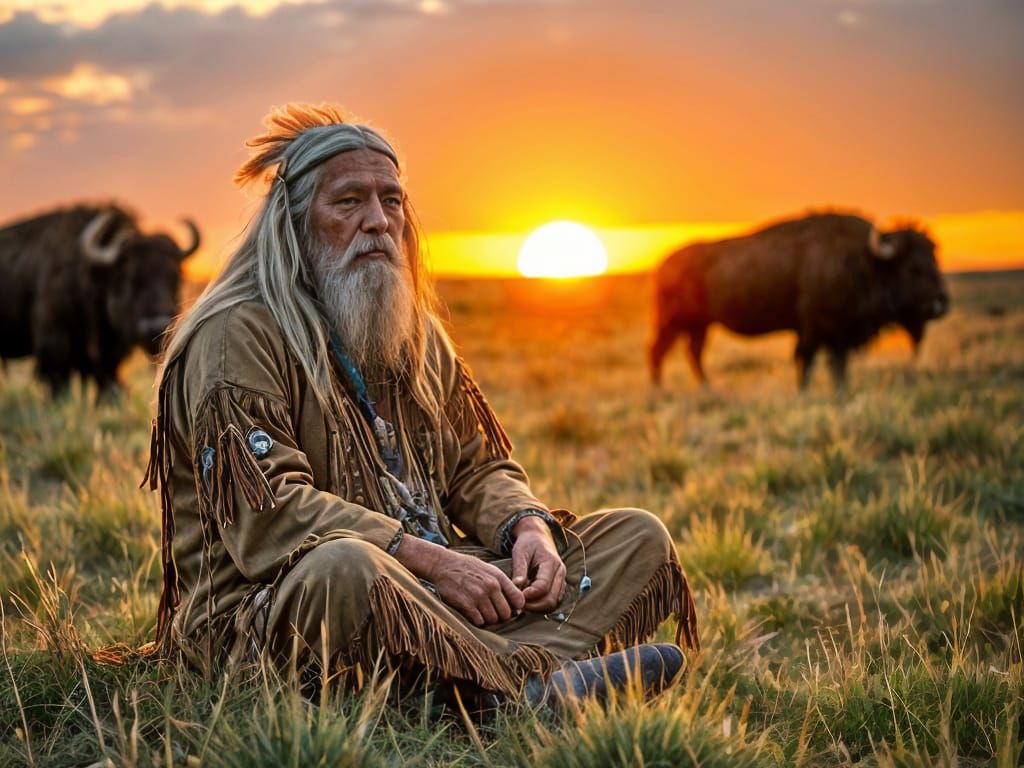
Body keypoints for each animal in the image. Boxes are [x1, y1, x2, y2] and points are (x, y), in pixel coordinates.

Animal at [649, 212, 949, 389]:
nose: (942, 303)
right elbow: (808, 361)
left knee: (693, 353)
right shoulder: (815, 330)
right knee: (659, 351)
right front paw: (805, 391)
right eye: (913, 268)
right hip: (674, 323)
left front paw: (841, 390)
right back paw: (660, 388)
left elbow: (838, 365)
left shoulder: (839, 335)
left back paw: (705, 386)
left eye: (934, 257)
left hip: (699, 325)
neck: (865, 261)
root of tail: (663, 265)